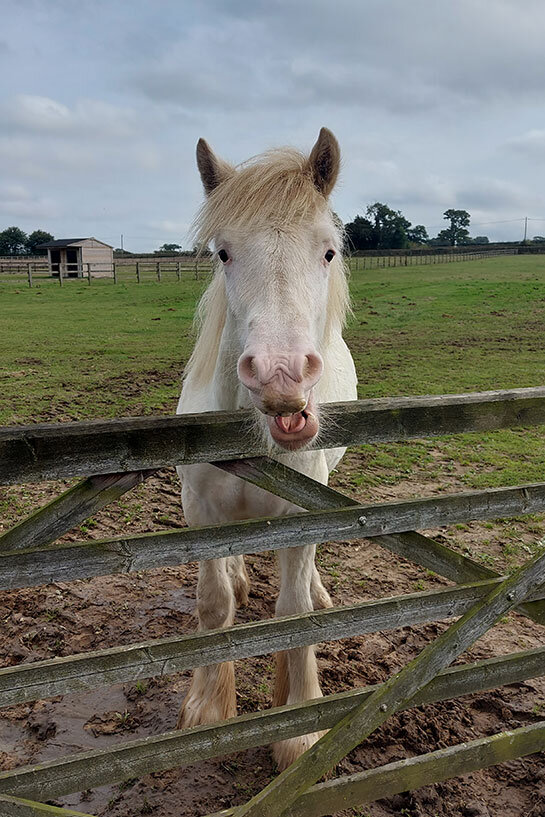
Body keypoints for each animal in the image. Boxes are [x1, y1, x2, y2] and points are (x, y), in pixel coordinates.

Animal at [176, 126, 360, 764]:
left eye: (328, 251)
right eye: (223, 253)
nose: (282, 377)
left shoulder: (303, 514)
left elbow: (295, 612)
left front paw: (299, 726)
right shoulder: (201, 512)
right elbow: (213, 605)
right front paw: (208, 708)